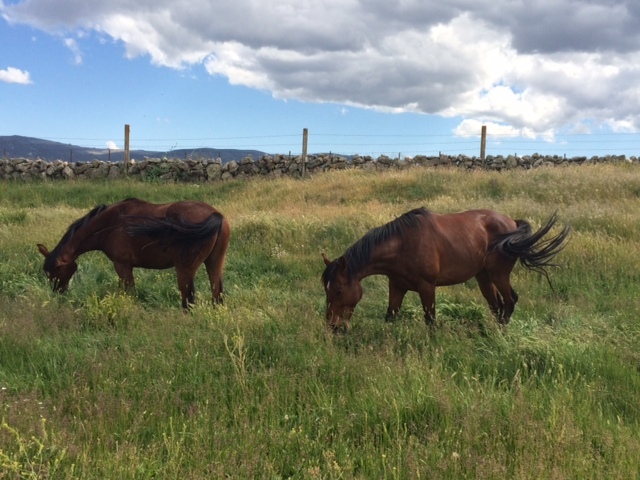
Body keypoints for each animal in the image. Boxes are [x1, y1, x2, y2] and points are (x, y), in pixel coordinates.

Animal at [37, 198, 231, 309]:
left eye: (53, 271)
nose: (57, 292)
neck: (110, 223)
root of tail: (216, 215)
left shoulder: (122, 265)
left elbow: (129, 292)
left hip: (185, 270)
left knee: (189, 301)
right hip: (214, 264)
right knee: (217, 295)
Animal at [321, 207, 570, 332]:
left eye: (339, 290)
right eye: (327, 290)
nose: (334, 326)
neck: (403, 244)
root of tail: (513, 223)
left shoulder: (427, 287)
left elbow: (430, 320)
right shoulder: (397, 286)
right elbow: (390, 316)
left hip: (498, 274)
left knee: (509, 302)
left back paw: (501, 335)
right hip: (483, 277)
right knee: (496, 305)